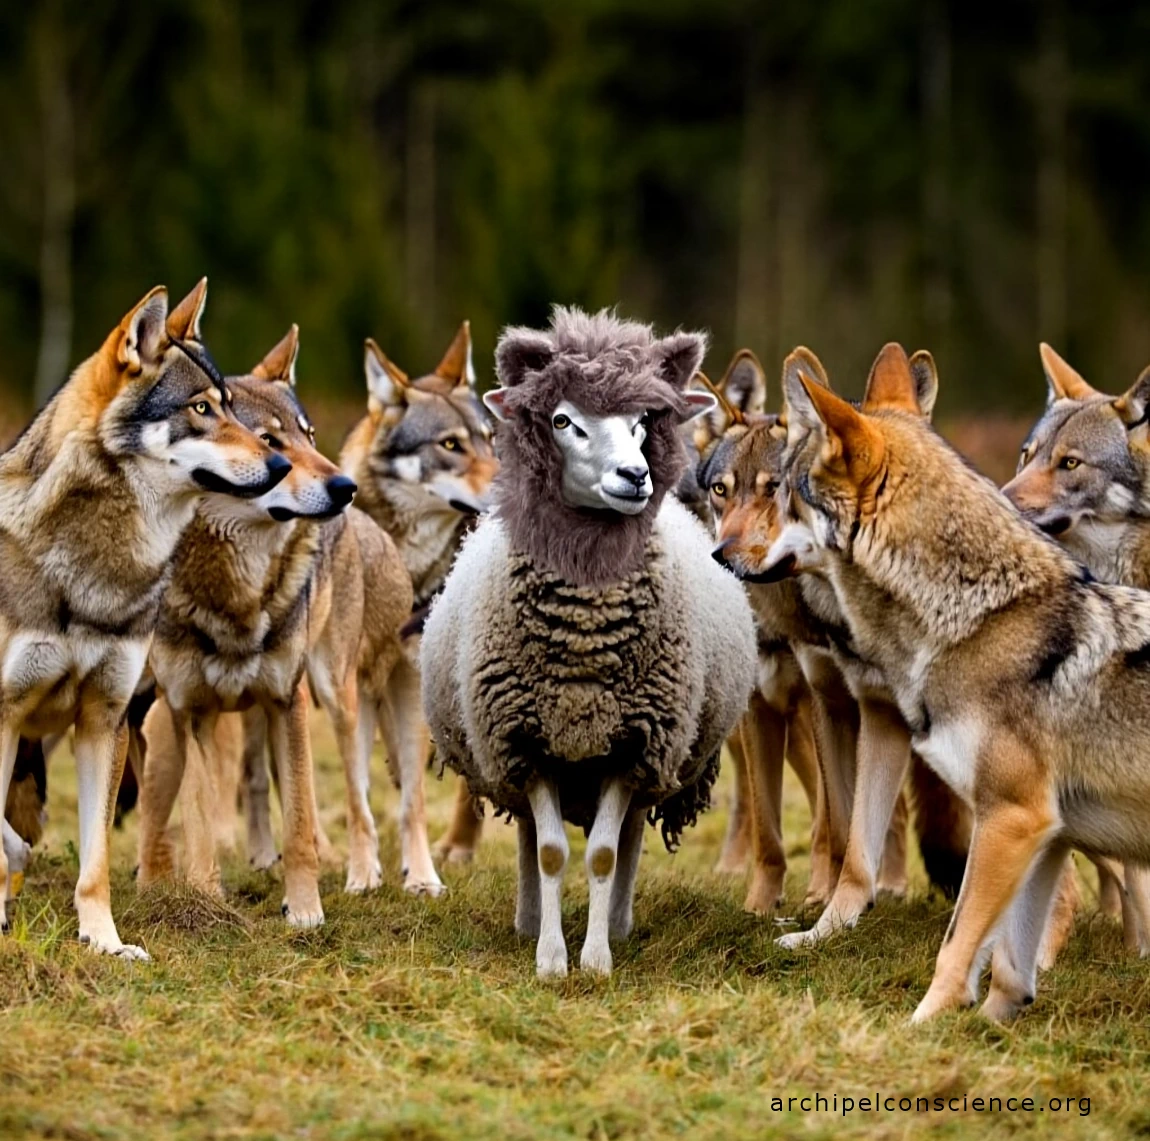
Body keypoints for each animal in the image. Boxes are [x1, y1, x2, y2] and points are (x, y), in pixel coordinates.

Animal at [421, 307, 758, 978]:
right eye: (561, 420)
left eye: (642, 422)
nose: (636, 475)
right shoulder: (527, 743)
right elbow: (551, 852)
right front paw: (551, 959)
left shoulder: (634, 746)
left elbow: (602, 853)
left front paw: (597, 959)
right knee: (530, 835)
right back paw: (528, 922)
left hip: (654, 759)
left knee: (627, 837)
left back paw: (620, 925)